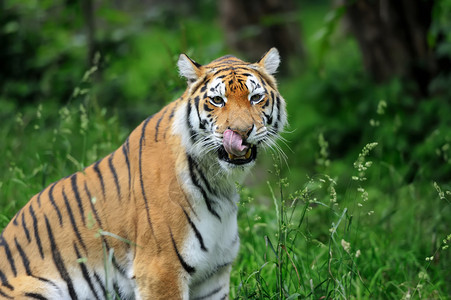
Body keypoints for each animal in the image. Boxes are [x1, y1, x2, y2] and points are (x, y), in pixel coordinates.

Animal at [0, 48, 288, 298]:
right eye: (217, 100)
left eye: (255, 98)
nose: (240, 132)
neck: (219, 180)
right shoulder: (161, 269)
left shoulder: (213, 276)